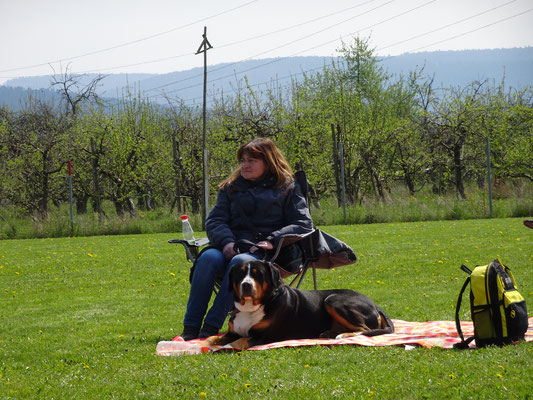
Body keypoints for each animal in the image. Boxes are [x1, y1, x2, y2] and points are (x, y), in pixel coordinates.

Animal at [198, 260, 390, 348]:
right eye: (240, 273)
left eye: (258, 274)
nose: (246, 285)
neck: (251, 307)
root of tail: (375, 304)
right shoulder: (232, 332)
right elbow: (210, 339)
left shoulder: (263, 336)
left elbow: (238, 342)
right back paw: (329, 333)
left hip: (333, 300)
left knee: (365, 329)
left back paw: (343, 335)